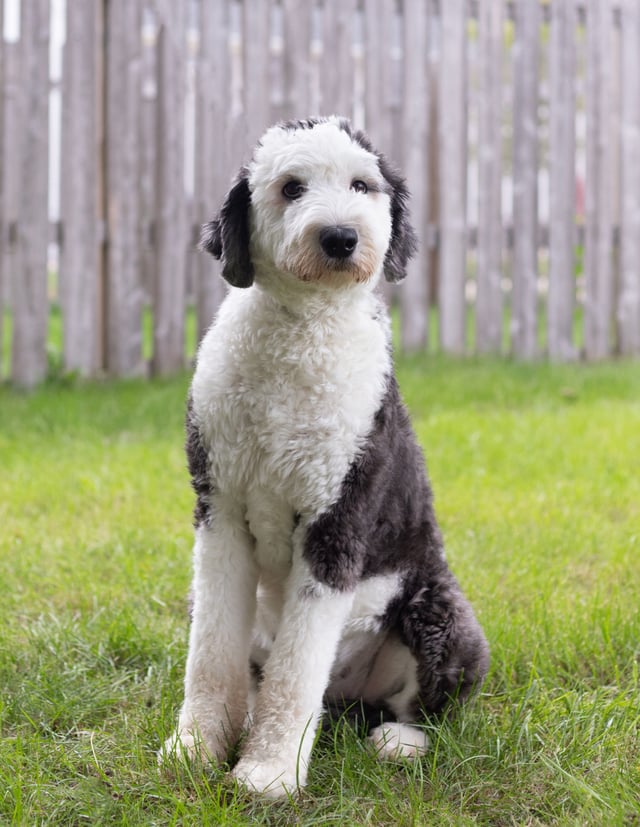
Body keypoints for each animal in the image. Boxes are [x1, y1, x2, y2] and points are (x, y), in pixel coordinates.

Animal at [161, 115, 490, 796]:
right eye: (291, 187)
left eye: (362, 185)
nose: (340, 236)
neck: (300, 333)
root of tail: (347, 697)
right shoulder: (220, 510)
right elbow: (210, 653)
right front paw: (197, 747)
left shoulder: (336, 524)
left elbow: (296, 670)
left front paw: (267, 773)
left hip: (441, 616)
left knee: (430, 709)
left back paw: (399, 741)